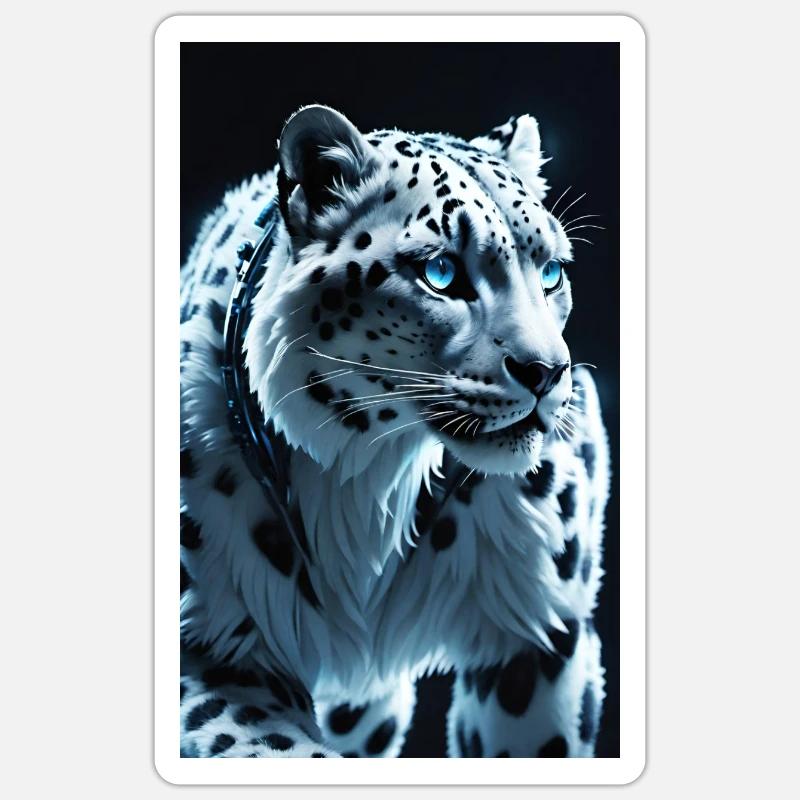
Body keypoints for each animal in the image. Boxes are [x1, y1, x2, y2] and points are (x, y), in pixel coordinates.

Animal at [179, 105, 610, 759]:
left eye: (552, 272)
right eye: (441, 272)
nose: (547, 371)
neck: (371, 480)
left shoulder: (541, 635)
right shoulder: (213, 647)